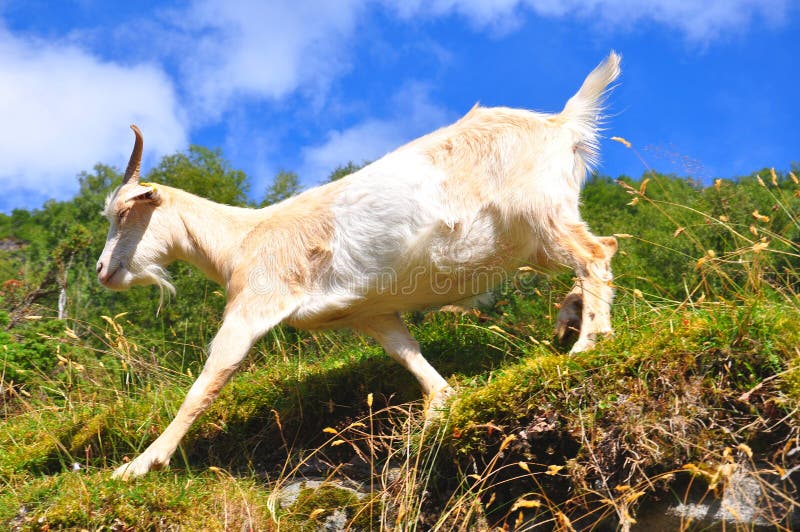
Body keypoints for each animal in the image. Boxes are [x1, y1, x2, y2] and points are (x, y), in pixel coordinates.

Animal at [94, 52, 620, 480]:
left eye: (123, 213)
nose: (102, 271)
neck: (241, 239)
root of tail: (562, 124)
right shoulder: (371, 313)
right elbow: (408, 354)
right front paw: (437, 407)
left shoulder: (253, 306)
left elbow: (206, 383)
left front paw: (140, 464)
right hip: (537, 233)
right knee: (602, 249)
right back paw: (570, 317)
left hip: (540, 210)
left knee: (595, 254)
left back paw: (589, 341)